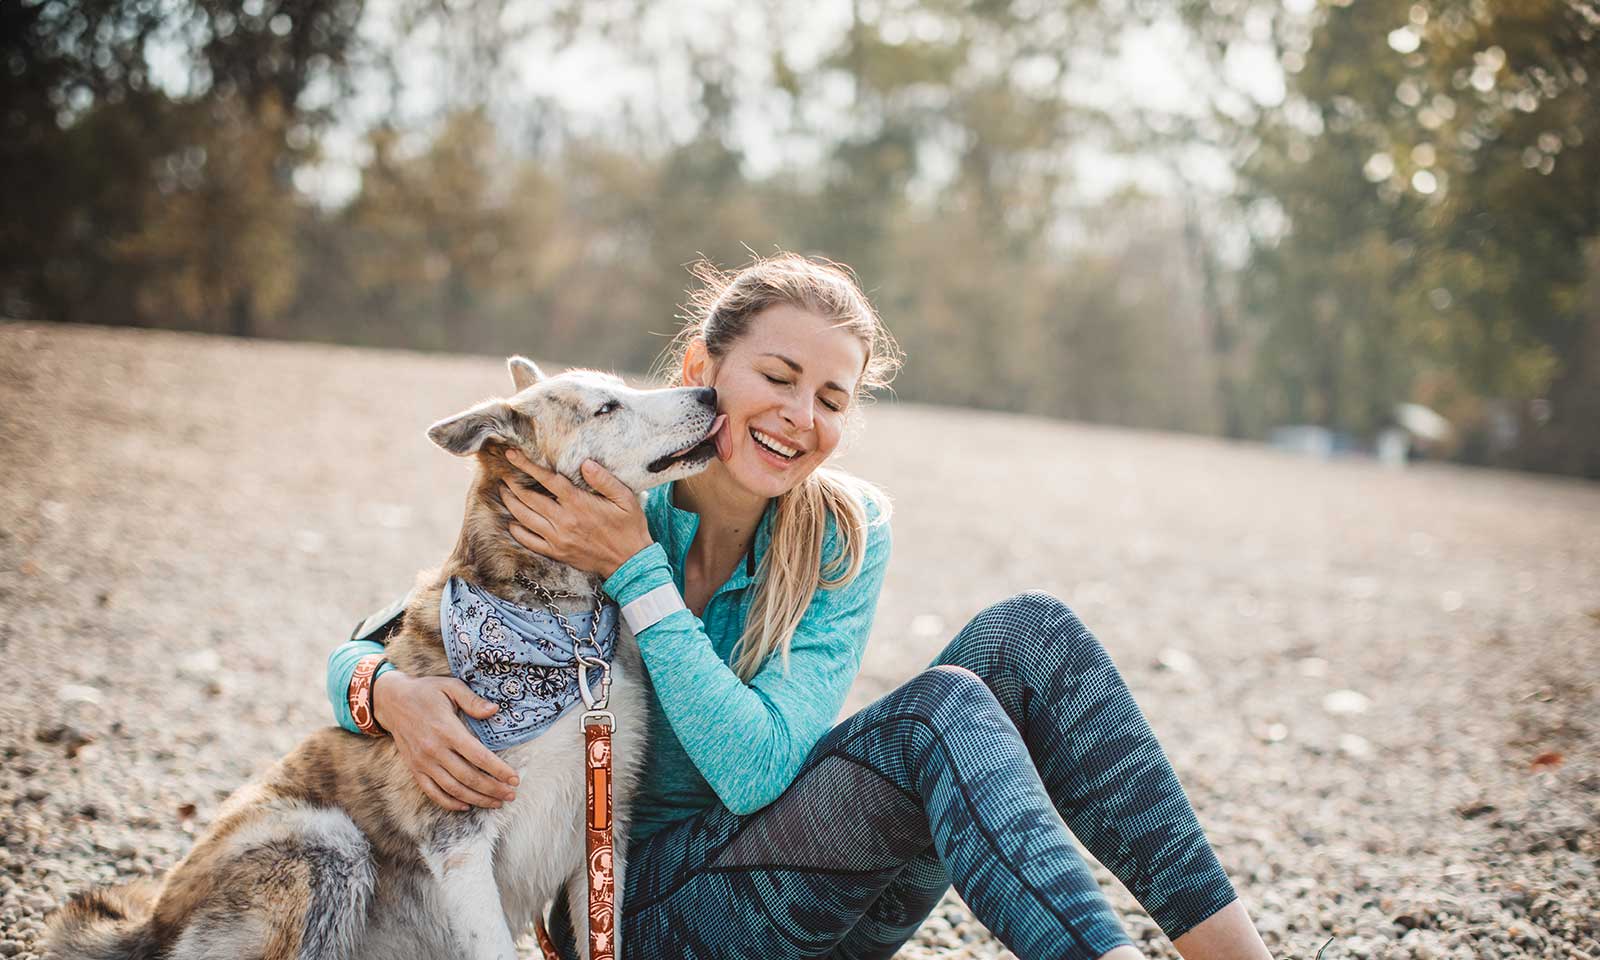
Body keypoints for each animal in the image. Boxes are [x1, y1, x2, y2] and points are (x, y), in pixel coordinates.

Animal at [42, 358, 732, 960]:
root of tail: (152, 924)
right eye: (607, 407)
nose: (711, 395)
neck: (560, 626)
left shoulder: (603, 840)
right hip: (330, 847)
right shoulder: (459, 842)